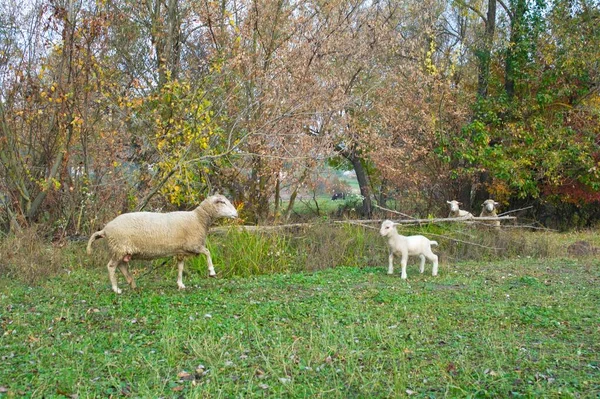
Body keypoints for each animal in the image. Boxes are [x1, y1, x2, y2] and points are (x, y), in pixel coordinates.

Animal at [88, 194, 238, 294]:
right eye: (223, 202)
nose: (236, 214)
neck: (198, 219)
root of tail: (105, 230)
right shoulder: (193, 245)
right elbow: (207, 252)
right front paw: (212, 271)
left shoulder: (181, 251)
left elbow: (180, 268)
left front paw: (180, 284)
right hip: (118, 248)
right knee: (111, 267)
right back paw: (116, 289)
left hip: (122, 251)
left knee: (122, 267)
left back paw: (133, 285)